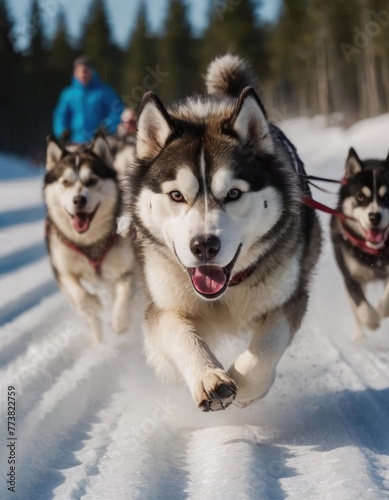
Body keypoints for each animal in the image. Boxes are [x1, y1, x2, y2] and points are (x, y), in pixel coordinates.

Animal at [43, 135, 135, 342]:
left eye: (92, 181)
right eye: (65, 182)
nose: (79, 200)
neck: (89, 242)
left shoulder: (127, 268)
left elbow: (125, 289)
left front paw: (119, 321)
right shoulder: (62, 268)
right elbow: (76, 290)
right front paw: (90, 304)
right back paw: (97, 339)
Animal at [122, 54, 322, 410]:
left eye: (233, 194)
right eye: (176, 195)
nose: (203, 246)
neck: (223, 295)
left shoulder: (288, 299)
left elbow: (267, 346)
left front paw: (248, 384)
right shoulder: (163, 307)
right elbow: (179, 336)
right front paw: (208, 377)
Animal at [330, 148, 388, 336]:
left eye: (388, 196)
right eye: (360, 196)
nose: (375, 217)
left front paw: (382, 310)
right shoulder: (350, 276)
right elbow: (360, 304)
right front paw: (372, 320)